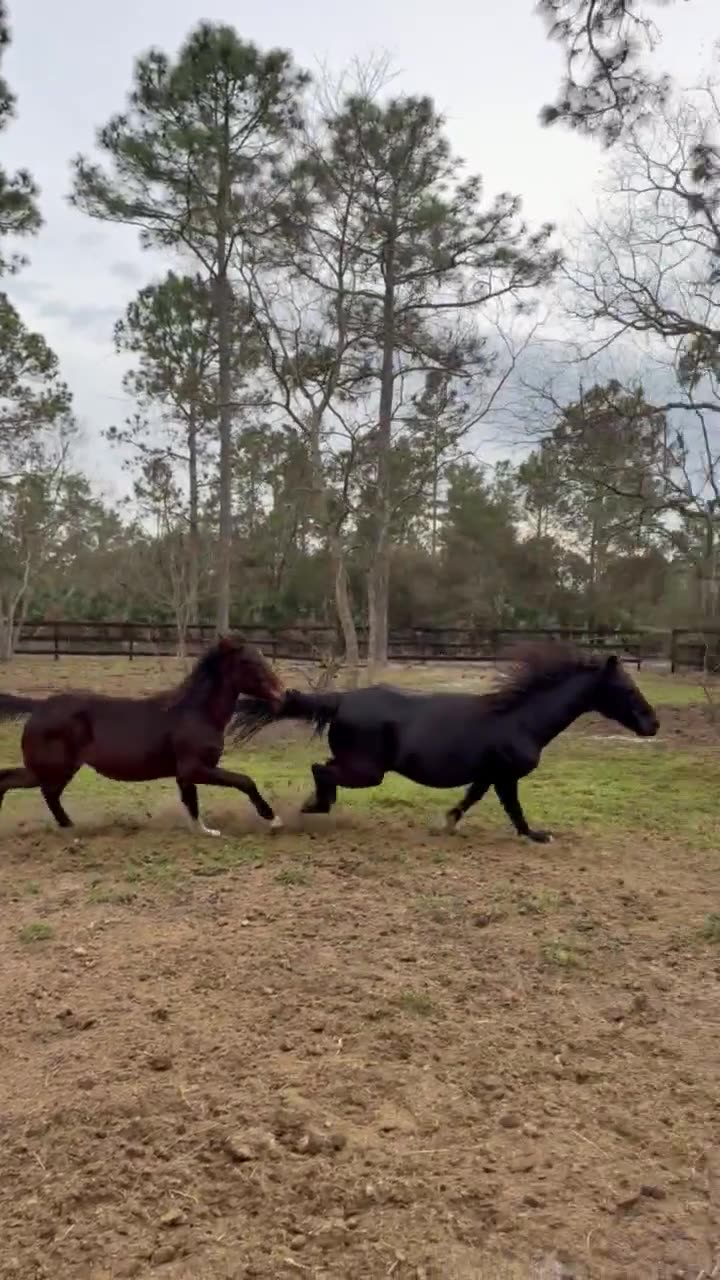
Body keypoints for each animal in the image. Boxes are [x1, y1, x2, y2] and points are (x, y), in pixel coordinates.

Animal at [0, 635, 285, 836]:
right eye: (248, 662)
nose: (281, 694)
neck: (196, 712)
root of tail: (38, 707)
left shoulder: (184, 774)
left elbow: (191, 803)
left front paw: (206, 831)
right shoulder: (195, 768)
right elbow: (244, 781)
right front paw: (274, 819)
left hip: (52, 769)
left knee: (26, 786)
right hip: (54, 768)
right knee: (42, 792)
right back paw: (72, 829)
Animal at [230, 644, 659, 841]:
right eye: (627, 689)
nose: (653, 724)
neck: (521, 719)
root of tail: (341, 700)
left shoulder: (488, 774)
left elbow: (470, 799)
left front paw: (448, 822)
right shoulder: (506, 777)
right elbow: (514, 810)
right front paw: (538, 836)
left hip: (362, 767)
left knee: (324, 769)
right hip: (369, 771)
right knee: (322, 769)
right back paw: (311, 807)